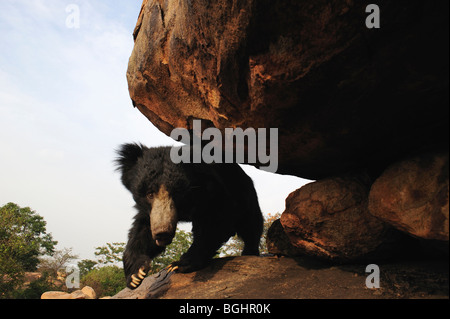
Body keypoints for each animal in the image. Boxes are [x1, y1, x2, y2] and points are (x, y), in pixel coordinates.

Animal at [115, 144, 264, 288]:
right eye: (150, 194)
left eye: (176, 194)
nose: (162, 233)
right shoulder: (151, 212)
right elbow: (142, 231)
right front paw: (136, 275)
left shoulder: (216, 194)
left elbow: (216, 223)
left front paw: (179, 264)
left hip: (245, 194)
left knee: (251, 224)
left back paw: (249, 251)